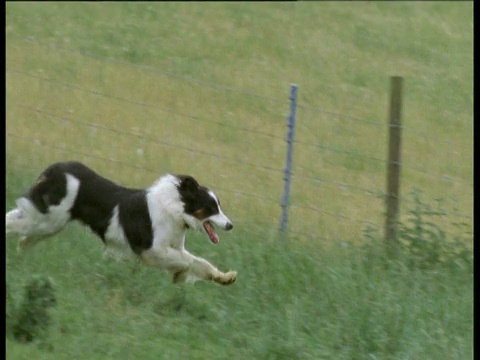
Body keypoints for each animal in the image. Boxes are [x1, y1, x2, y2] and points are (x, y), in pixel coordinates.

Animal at [3, 162, 236, 286]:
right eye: (211, 207)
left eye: (219, 205)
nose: (230, 225)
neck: (176, 211)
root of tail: (56, 170)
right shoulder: (151, 250)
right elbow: (187, 262)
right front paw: (180, 275)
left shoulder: (173, 248)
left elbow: (200, 262)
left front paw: (225, 277)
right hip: (46, 219)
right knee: (15, 225)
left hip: (50, 223)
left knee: (23, 237)